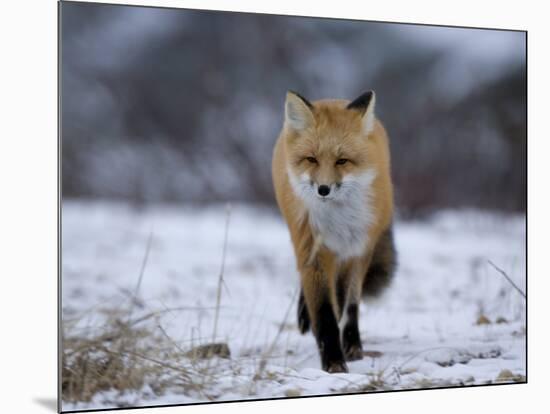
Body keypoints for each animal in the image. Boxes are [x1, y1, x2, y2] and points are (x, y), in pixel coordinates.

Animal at [272, 90, 396, 372]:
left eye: (342, 161)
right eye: (311, 159)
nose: (323, 189)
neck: (337, 220)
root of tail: (332, 98)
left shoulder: (356, 248)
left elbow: (346, 305)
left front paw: (347, 350)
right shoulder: (311, 246)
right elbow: (324, 311)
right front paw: (333, 362)